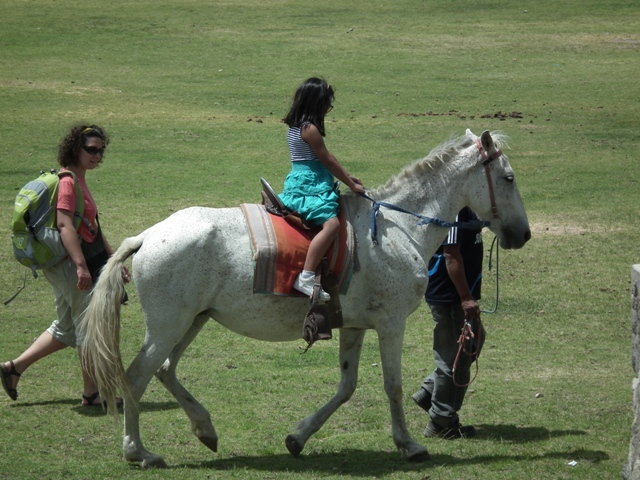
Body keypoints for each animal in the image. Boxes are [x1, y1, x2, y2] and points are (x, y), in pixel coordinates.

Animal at [80, 129, 528, 466]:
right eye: (508, 178)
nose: (522, 234)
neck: (398, 227)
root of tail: (147, 235)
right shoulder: (391, 324)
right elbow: (393, 386)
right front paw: (409, 445)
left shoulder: (353, 326)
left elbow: (347, 386)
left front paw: (298, 437)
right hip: (168, 325)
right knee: (136, 376)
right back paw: (139, 452)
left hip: (192, 320)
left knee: (165, 370)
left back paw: (205, 428)